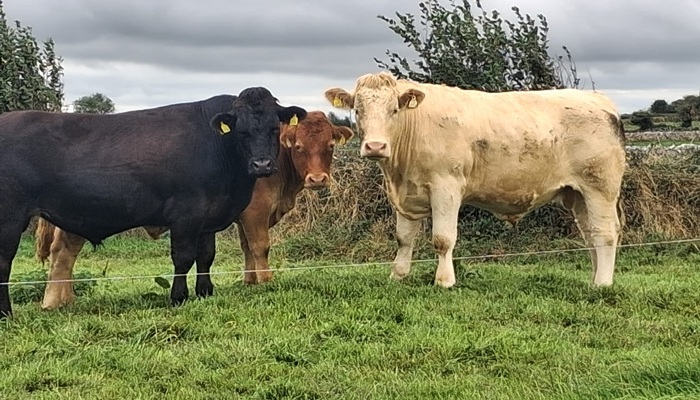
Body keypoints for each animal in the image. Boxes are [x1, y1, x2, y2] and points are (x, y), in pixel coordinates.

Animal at [0, 89, 307, 317]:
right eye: (241, 131)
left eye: (274, 128)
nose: (262, 165)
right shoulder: (186, 214)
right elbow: (183, 257)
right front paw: (179, 296)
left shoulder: (208, 217)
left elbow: (206, 256)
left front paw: (205, 292)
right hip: (10, 216)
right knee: (4, 262)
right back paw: (6, 314)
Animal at [34, 111, 354, 310]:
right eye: (298, 146)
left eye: (329, 145)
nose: (317, 179)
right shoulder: (255, 213)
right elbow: (260, 246)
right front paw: (265, 281)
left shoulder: (240, 218)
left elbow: (246, 248)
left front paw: (249, 281)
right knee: (64, 254)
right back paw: (57, 301)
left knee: (62, 254)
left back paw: (63, 299)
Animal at [325, 72, 626, 289]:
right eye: (358, 110)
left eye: (394, 111)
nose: (375, 146)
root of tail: (599, 101)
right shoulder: (406, 194)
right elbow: (403, 239)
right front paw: (398, 275)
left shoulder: (446, 187)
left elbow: (443, 239)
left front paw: (444, 281)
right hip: (578, 194)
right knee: (590, 235)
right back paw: (595, 279)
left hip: (600, 188)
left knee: (606, 233)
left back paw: (603, 284)